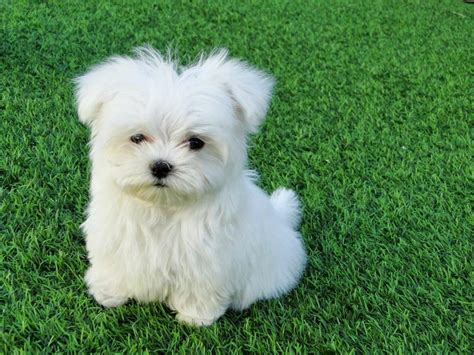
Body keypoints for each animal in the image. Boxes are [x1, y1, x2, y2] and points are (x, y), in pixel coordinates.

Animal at [73, 48, 304, 328]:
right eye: (137, 138)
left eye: (195, 142)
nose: (160, 166)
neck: (162, 207)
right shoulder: (114, 235)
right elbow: (114, 264)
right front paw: (109, 293)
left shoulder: (207, 257)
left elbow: (199, 286)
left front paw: (196, 316)